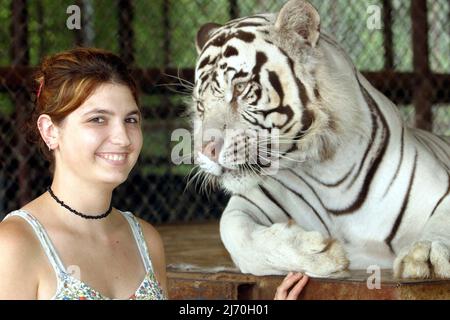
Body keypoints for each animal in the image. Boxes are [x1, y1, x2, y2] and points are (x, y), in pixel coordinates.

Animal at [191, 0, 450, 278]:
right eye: (200, 105)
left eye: (240, 89)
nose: (205, 150)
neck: (325, 170)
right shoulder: (247, 202)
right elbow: (232, 230)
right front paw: (318, 253)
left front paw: (427, 255)